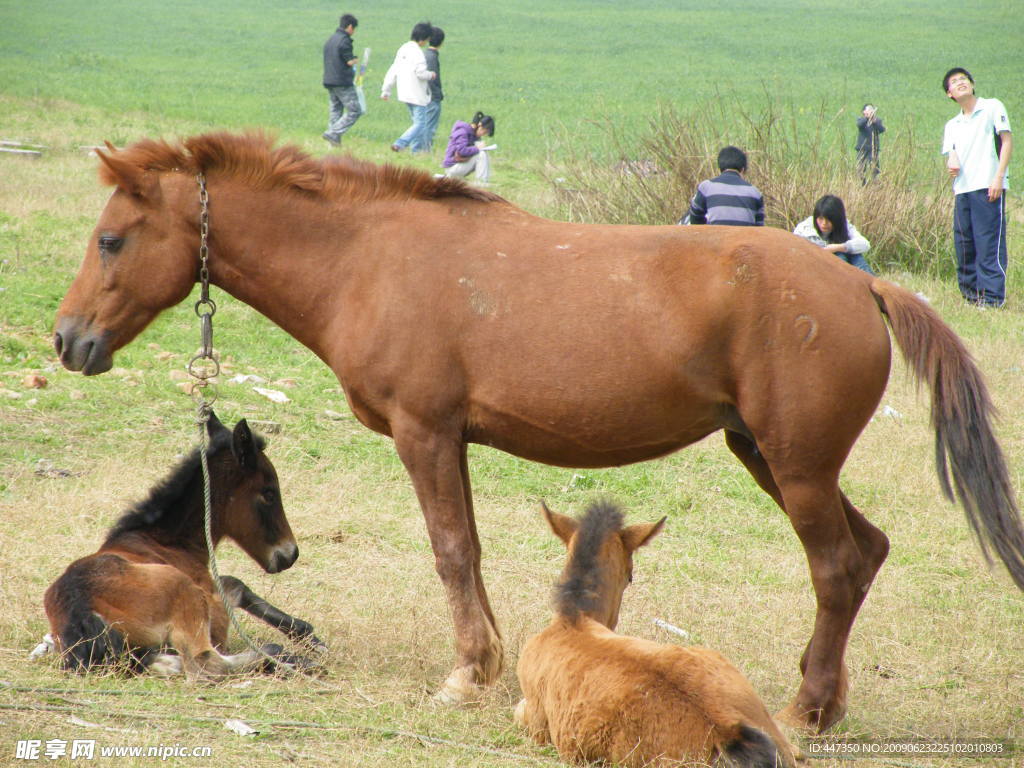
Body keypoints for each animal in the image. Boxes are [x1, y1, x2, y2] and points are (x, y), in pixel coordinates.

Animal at [43, 415, 323, 679]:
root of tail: (79, 607)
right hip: (182, 590)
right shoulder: (212, 610)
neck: (165, 541)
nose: (290, 554)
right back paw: (290, 660)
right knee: (205, 664)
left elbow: (236, 585)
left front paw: (309, 637)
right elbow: (235, 587)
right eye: (269, 493)